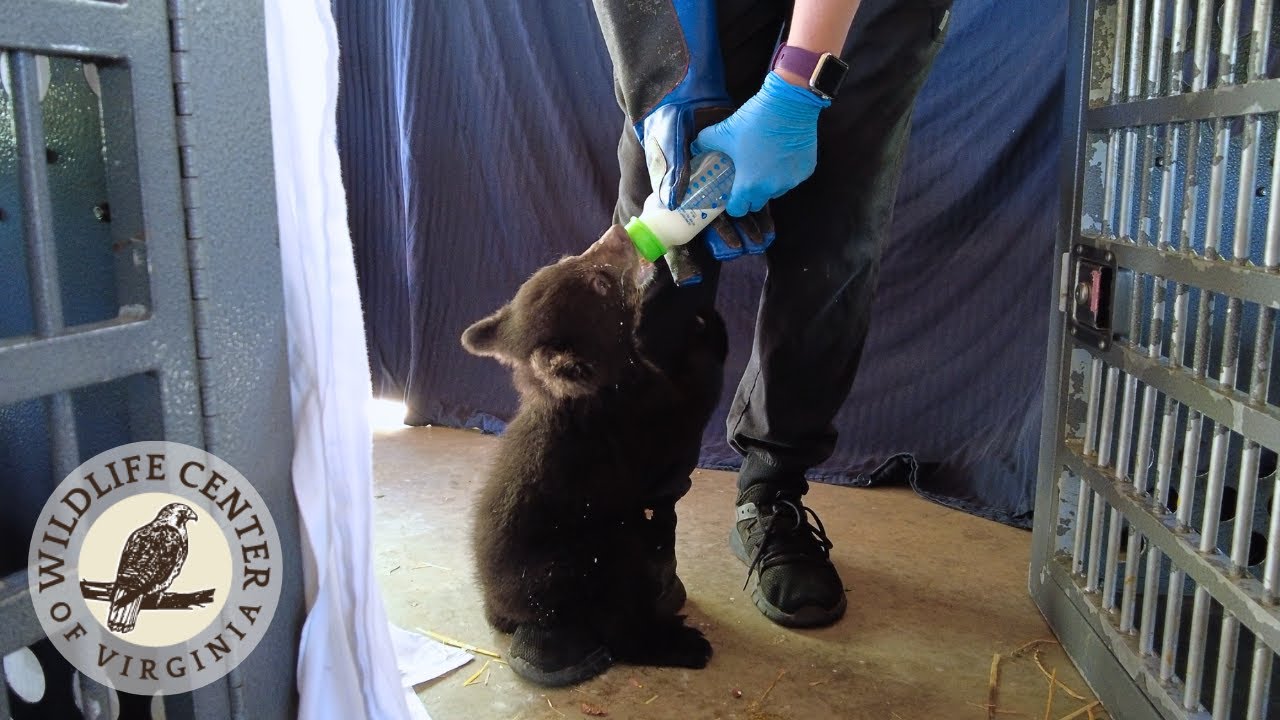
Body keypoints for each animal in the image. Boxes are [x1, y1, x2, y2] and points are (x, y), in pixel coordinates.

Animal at [460, 224, 727, 687]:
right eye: (601, 284)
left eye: (569, 258)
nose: (620, 230)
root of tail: (506, 607)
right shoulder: (643, 423)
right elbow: (692, 402)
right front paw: (706, 328)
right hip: (593, 557)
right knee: (618, 618)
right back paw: (679, 643)